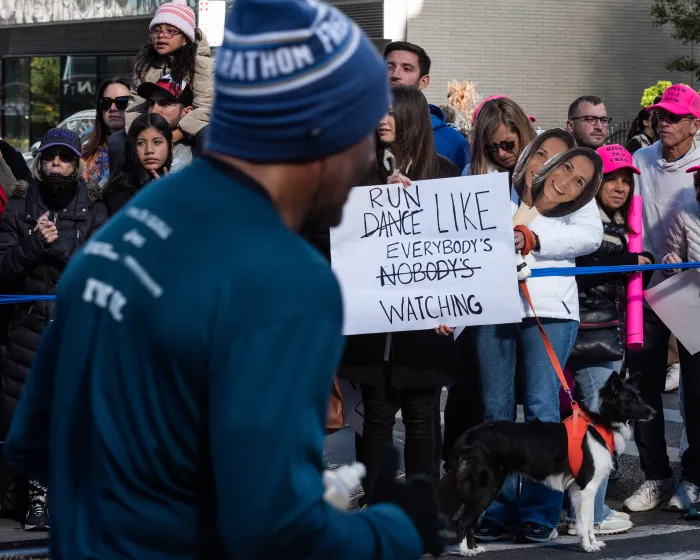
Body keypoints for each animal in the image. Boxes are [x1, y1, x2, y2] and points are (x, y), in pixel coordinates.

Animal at [438, 372, 656, 556]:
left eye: (639, 396)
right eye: (630, 400)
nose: (654, 412)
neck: (599, 423)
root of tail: (469, 436)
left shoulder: (579, 490)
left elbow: (587, 521)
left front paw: (591, 543)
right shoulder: (586, 488)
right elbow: (585, 522)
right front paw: (587, 547)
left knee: (471, 522)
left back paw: (473, 548)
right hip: (486, 487)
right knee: (463, 521)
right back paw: (465, 551)